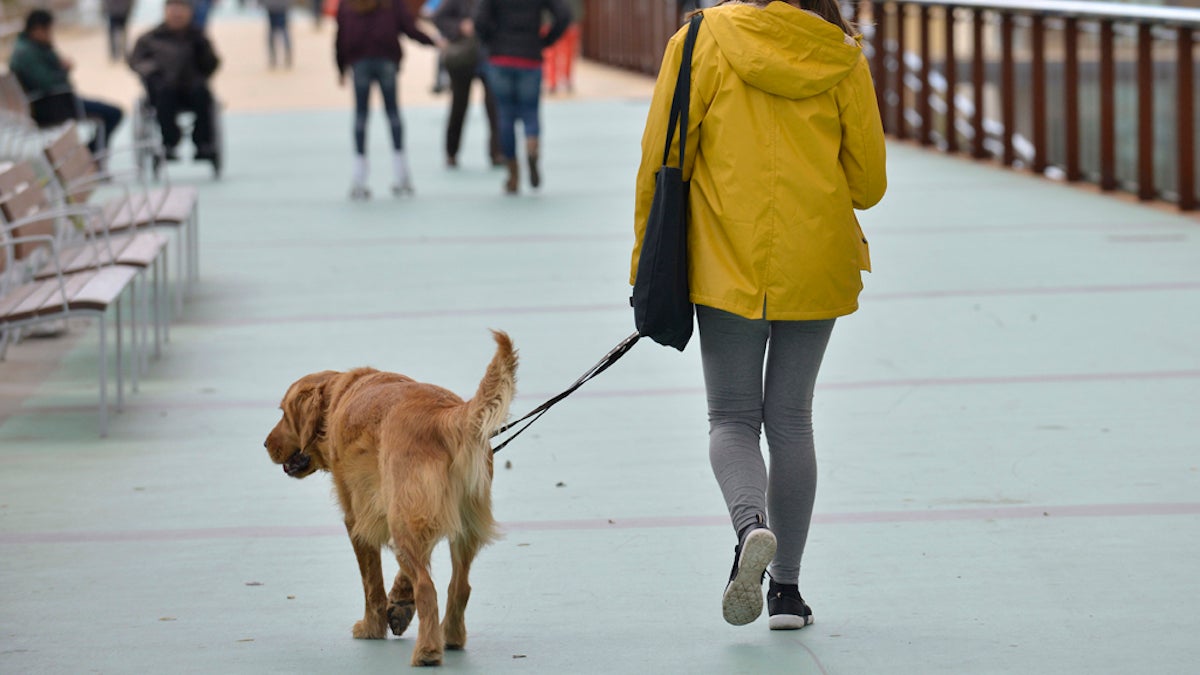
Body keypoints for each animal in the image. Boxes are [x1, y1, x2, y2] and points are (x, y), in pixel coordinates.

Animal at [262, 329, 516, 662]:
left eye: (283, 413)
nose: (265, 444)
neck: (337, 399)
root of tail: (444, 415)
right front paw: (399, 604)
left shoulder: (356, 517)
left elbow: (371, 583)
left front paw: (372, 626)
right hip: (455, 526)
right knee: (459, 586)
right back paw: (450, 636)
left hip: (405, 519)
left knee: (428, 588)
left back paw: (427, 651)